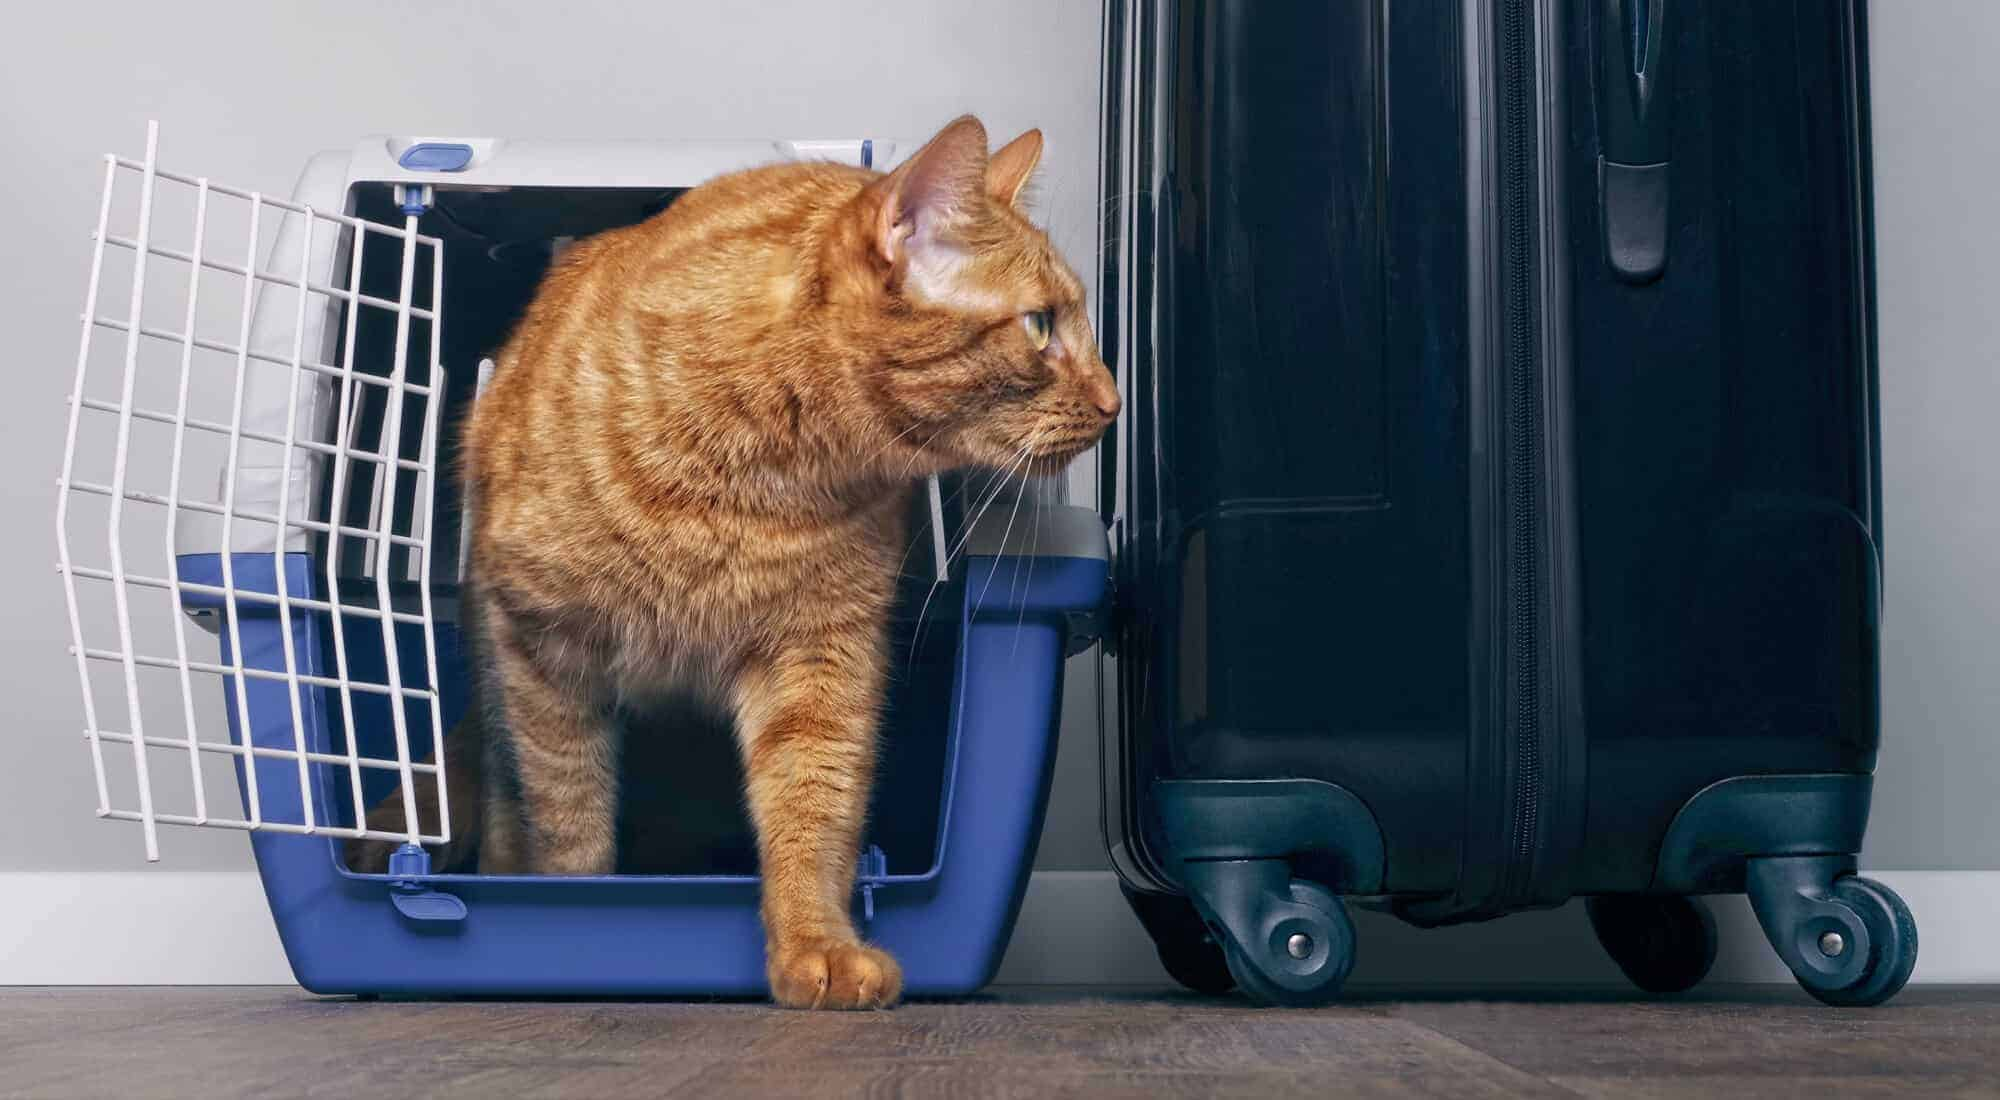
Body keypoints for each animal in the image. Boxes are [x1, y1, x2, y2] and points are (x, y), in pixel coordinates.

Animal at [350, 118, 1120, 1008]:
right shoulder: (541, 651)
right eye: (1041, 326)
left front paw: (817, 945)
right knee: (505, 788)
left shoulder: (820, 659)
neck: (756, 469)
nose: (1115, 402)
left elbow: (812, 808)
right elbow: (568, 821)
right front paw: (572, 916)